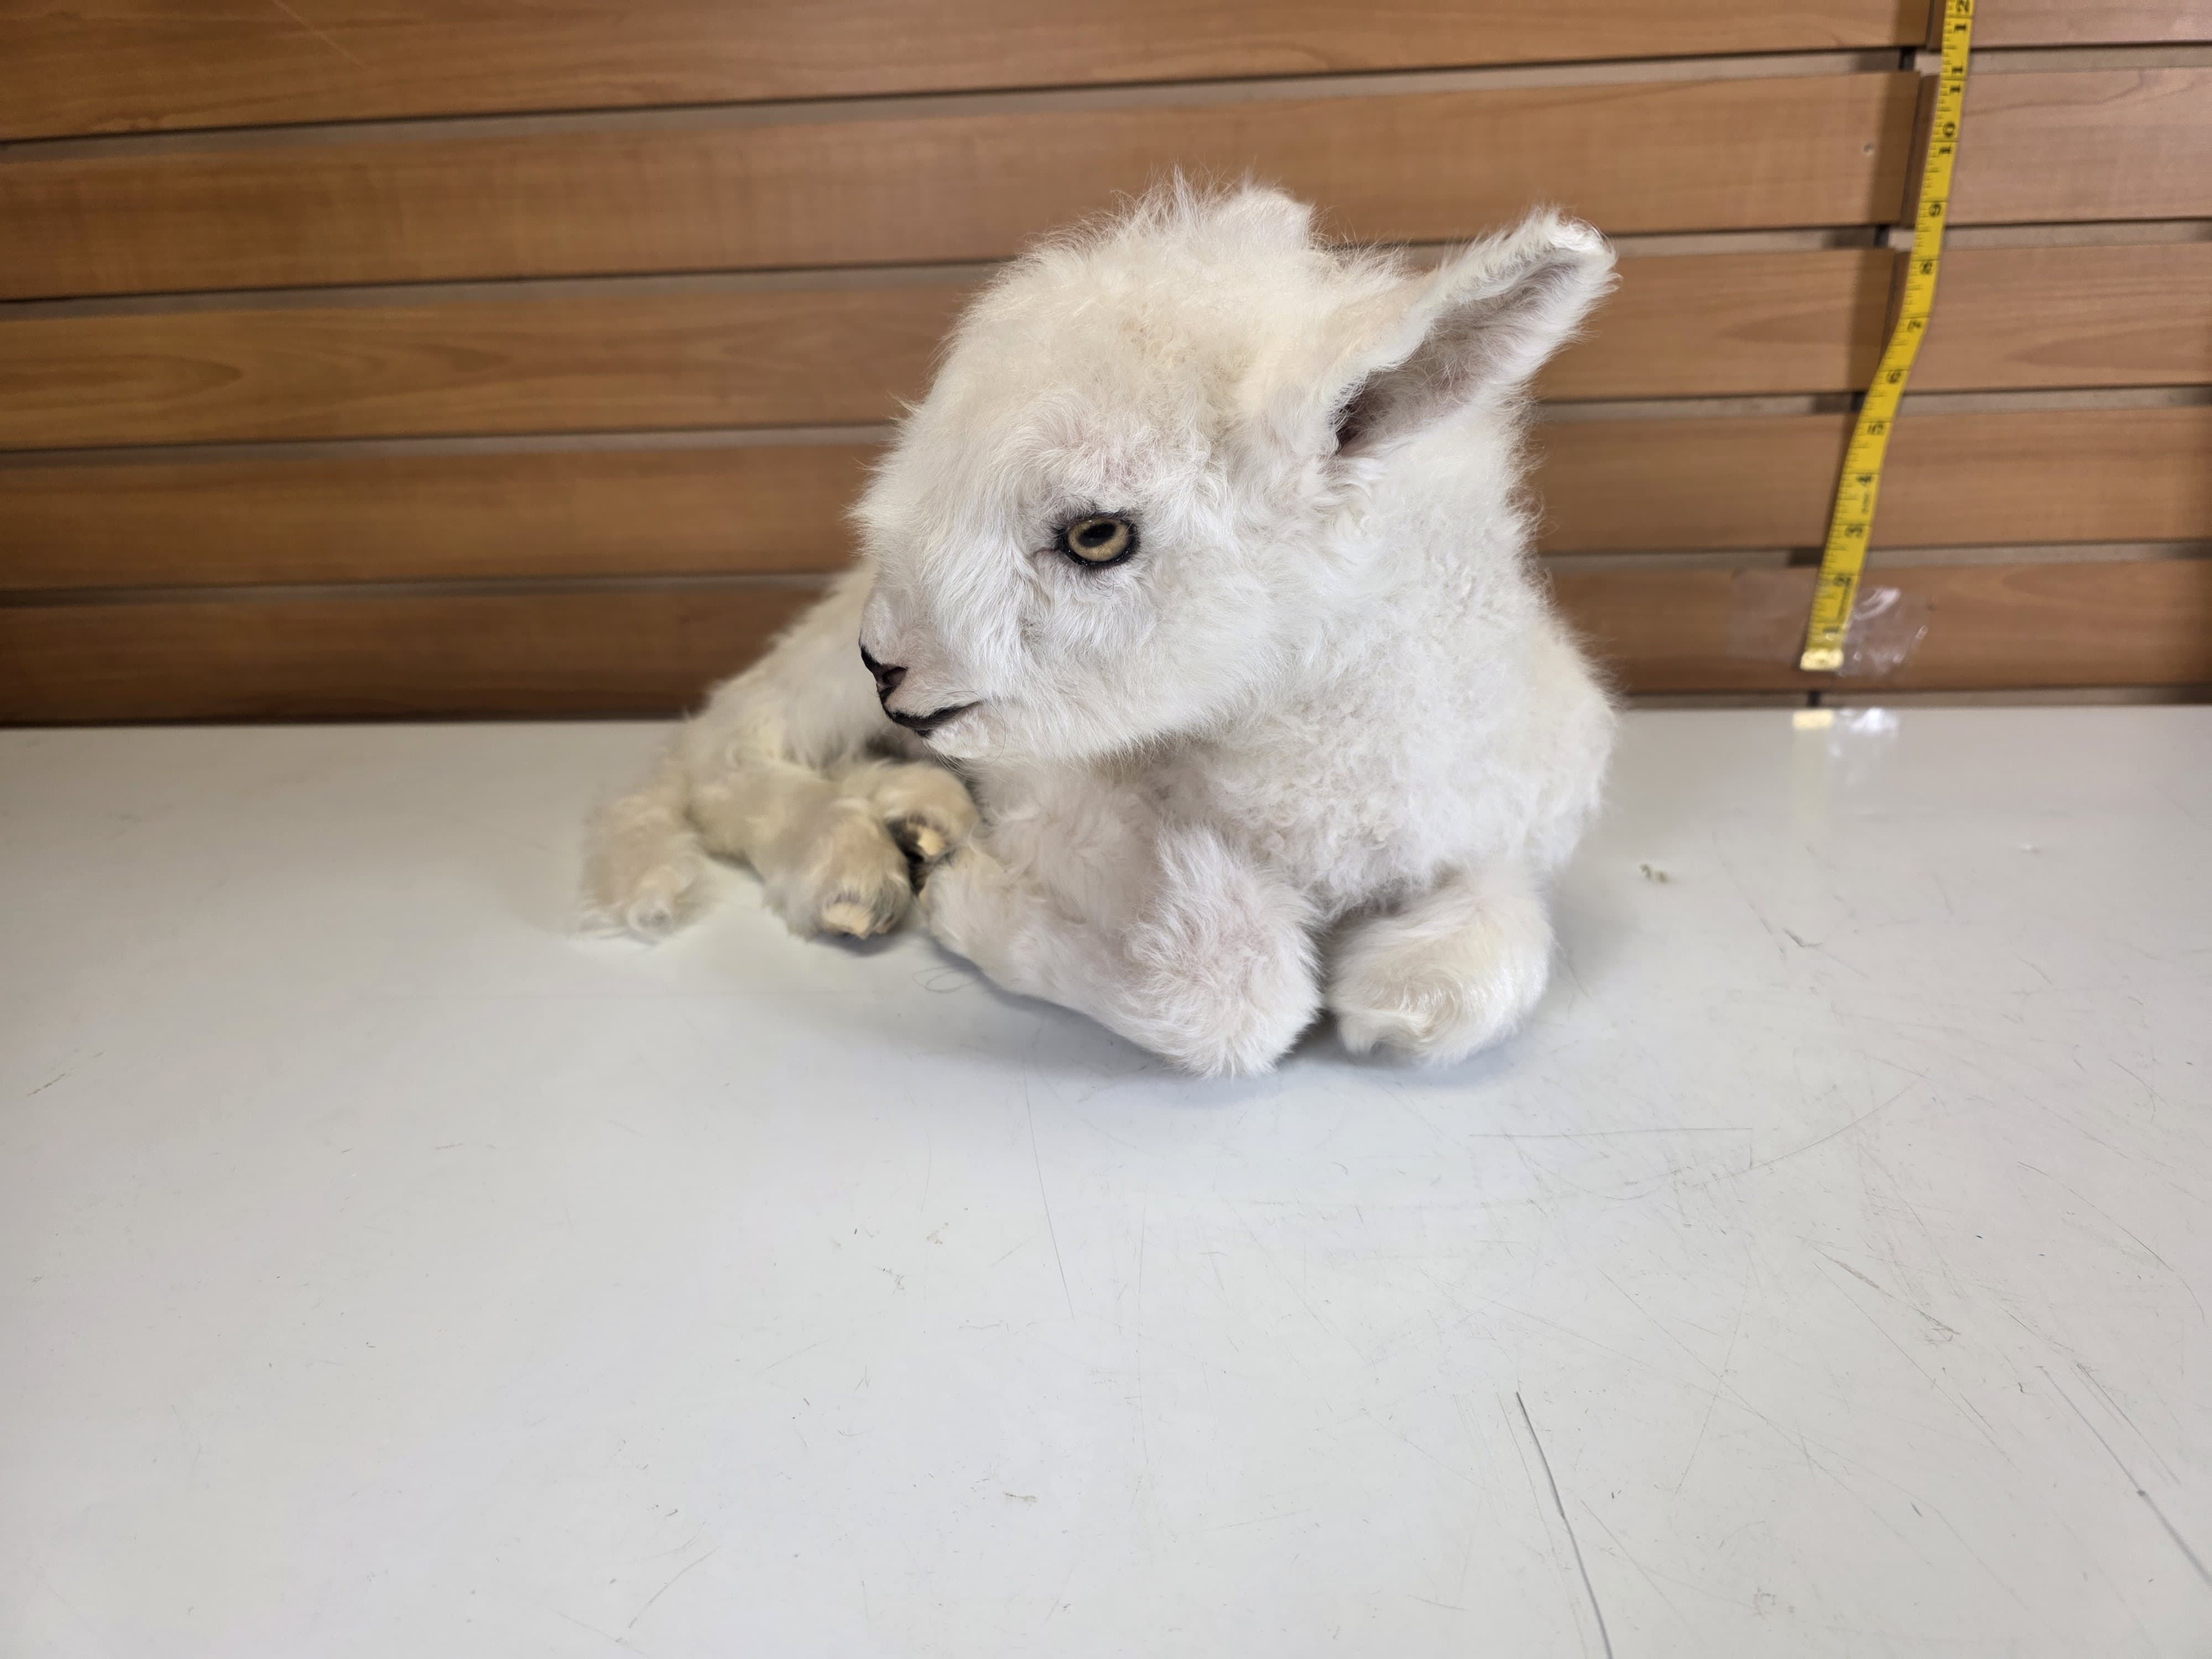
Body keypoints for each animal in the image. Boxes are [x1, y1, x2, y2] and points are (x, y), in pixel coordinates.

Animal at [583, 181, 1617, 1076]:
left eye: (1097, 535)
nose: (890, 665)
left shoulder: (1496, 839)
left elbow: (1459, 985)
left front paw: (1382, 987)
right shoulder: (1051, 796)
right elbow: (1240, 990)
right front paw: (975, 902)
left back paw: (918, 817)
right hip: (817, 683)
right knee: (723, 747)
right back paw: (852, 868)